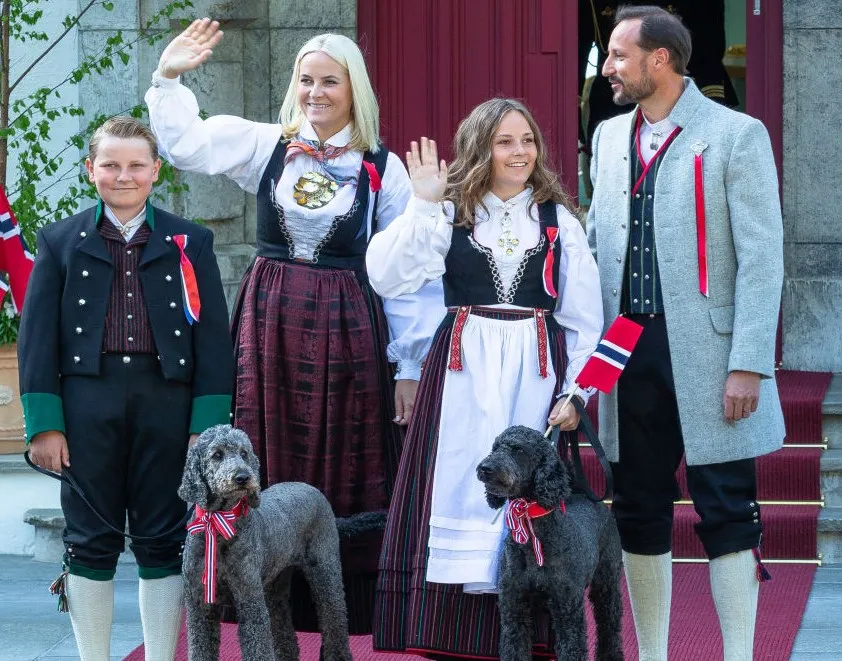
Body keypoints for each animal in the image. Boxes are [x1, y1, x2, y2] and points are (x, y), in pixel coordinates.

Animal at [179, 426, 352, 660]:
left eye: (244, 453)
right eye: (217, 454)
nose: (243, 476)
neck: (219, 523)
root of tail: (312, 488)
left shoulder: (249, 597)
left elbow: (258, 646)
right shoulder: (199, 604)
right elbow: (200, 648)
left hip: (325, 569)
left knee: (334, 617)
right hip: (275, 585)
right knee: (283, 628)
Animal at [476, 426, 620, 660]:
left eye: (518, 449)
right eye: (495, 447)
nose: (485, 468)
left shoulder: (568, 611)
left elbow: (572, 649)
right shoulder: (514, 607)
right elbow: (514, 649)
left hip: (607, 583)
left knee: (610, 628)